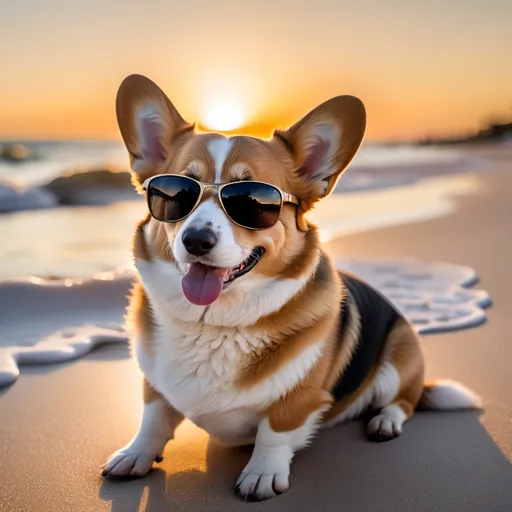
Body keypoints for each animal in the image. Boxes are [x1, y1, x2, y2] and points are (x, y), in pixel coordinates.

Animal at [102, 75, 482, 500]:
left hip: (398, 362)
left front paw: (262, 473)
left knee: (404, 401)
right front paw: (136, 454)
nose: (196, 240)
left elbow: (275, 430)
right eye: (174, 193)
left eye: (252, 201)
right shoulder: (153, 383)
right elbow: (152, 417)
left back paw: (385, 421)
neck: (212, 325)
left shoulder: (298, 400)